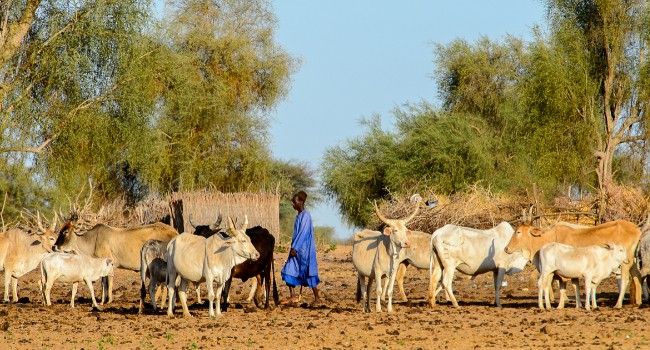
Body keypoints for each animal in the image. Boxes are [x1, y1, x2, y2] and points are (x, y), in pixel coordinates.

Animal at [504, 220, 640, 308]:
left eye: (518, 232)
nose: (506, 248)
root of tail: (636, 228)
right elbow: (574, 286)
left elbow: (559, 285)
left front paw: (559, 304)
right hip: (630, 261)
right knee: (637, 276)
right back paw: (637, 302)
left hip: (624, 264)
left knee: (625, 280)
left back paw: (618, 304)